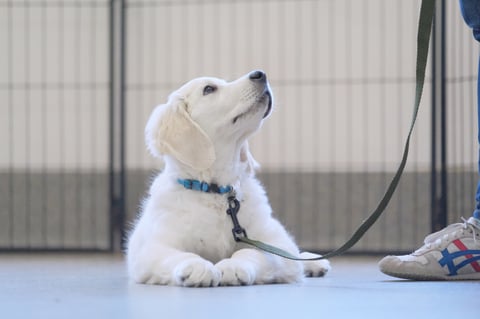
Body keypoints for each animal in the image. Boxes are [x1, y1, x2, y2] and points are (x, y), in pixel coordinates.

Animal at [126, 70, 330, 288]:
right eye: (209, 89)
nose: (260, 74)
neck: (216, 190)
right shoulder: (151, 249)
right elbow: (178, 255)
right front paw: (197, 267)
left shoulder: (276, 242)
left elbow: (250, 251)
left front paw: (233, 267)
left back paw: (313, 262)